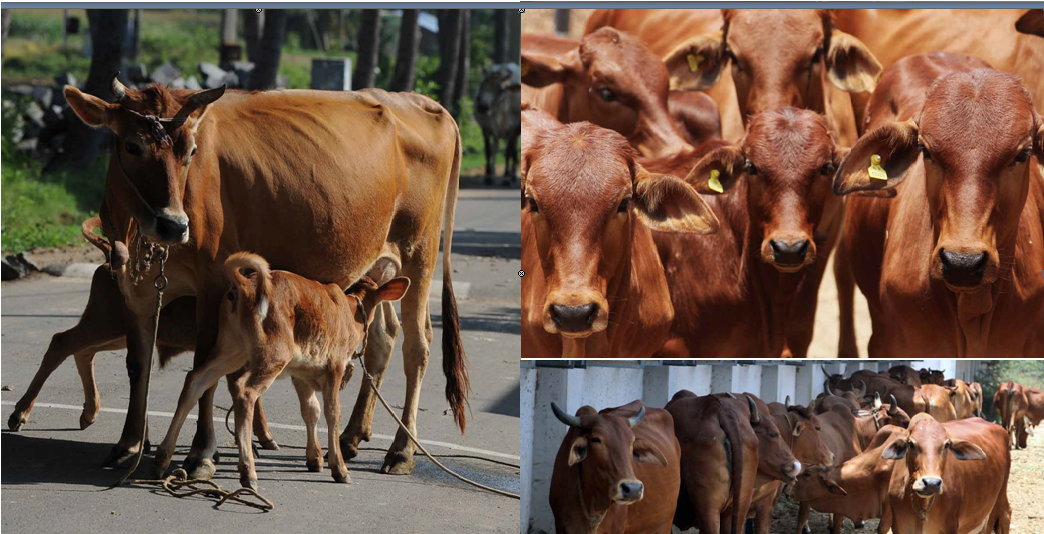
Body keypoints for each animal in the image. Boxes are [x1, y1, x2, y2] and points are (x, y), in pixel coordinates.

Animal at [7, 218, 279, 452]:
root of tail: (107, 262)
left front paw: (265, 437)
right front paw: (264, 437)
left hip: (116, 333)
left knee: (84, 352)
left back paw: (90, 414)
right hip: (103, 324)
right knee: (62, 342)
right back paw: (19, 414)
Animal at [153, 253, 411, 488]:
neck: (350, 309)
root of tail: (245, 284)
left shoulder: (302, 371)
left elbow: (311, 410)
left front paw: (314, 459)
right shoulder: (334, 366)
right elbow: (332, 412)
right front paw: (339, 468)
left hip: (232, 348)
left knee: (196, 379)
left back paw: (162, 457)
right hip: (273, 354)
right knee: (244, 391)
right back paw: (248, 473)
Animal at [882, 414, 1011, 534]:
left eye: (946, 445)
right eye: (910, 443)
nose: (931, 483)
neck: (922, 506)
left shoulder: (950, 526)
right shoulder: (899, 526)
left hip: (998, 500)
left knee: (1005, 515)